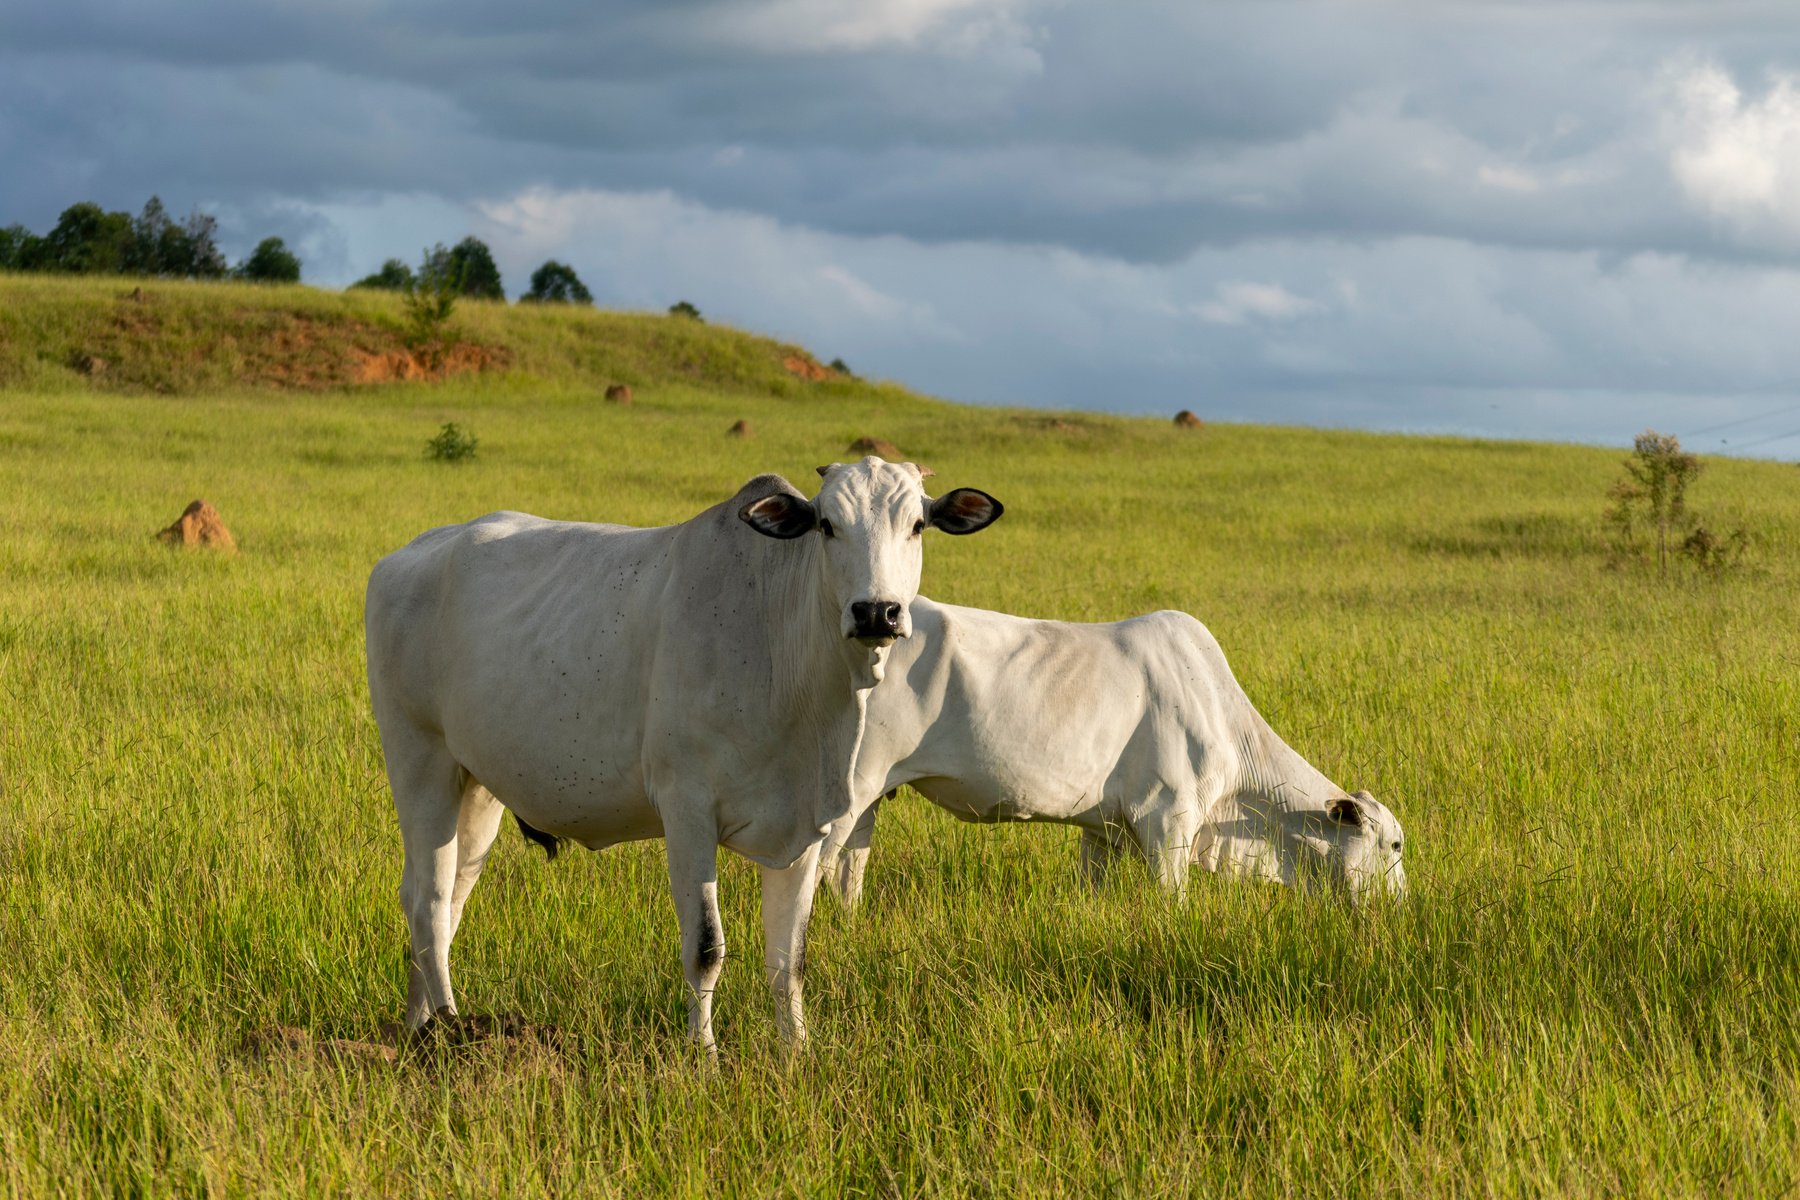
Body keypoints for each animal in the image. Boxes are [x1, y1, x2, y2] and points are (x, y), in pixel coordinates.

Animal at [365, 460, 1008, 1050]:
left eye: (918, 524)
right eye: (827, 525)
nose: (877, 611)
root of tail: (410, 553)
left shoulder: (808, 827)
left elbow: (789, 960)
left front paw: (797, 1055)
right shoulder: (688, 811)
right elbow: (706, 948)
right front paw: (705, 1056)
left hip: (477, 787)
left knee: (441, 899)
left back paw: (418, 1027)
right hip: (419, 760)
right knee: (429, 900)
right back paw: (449, 1029)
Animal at [824, 600, 1404, 910]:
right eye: (1395, 845)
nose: (1400, 906)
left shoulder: (1103, 829)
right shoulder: (1168, 820)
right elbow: (1174, 900)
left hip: (872, 795)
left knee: (850, 869)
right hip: (849, 789)